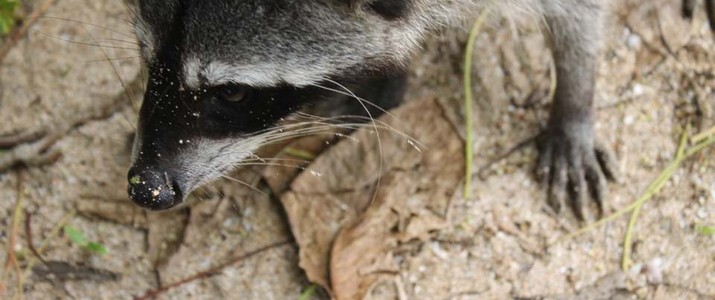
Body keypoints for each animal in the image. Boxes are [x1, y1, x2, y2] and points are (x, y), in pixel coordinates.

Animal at [124, 0, 704, 216]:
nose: (146, 186)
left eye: (233, 94)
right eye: (146, 57)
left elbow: (579, 19)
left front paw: (575, 103)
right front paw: (384, 73)